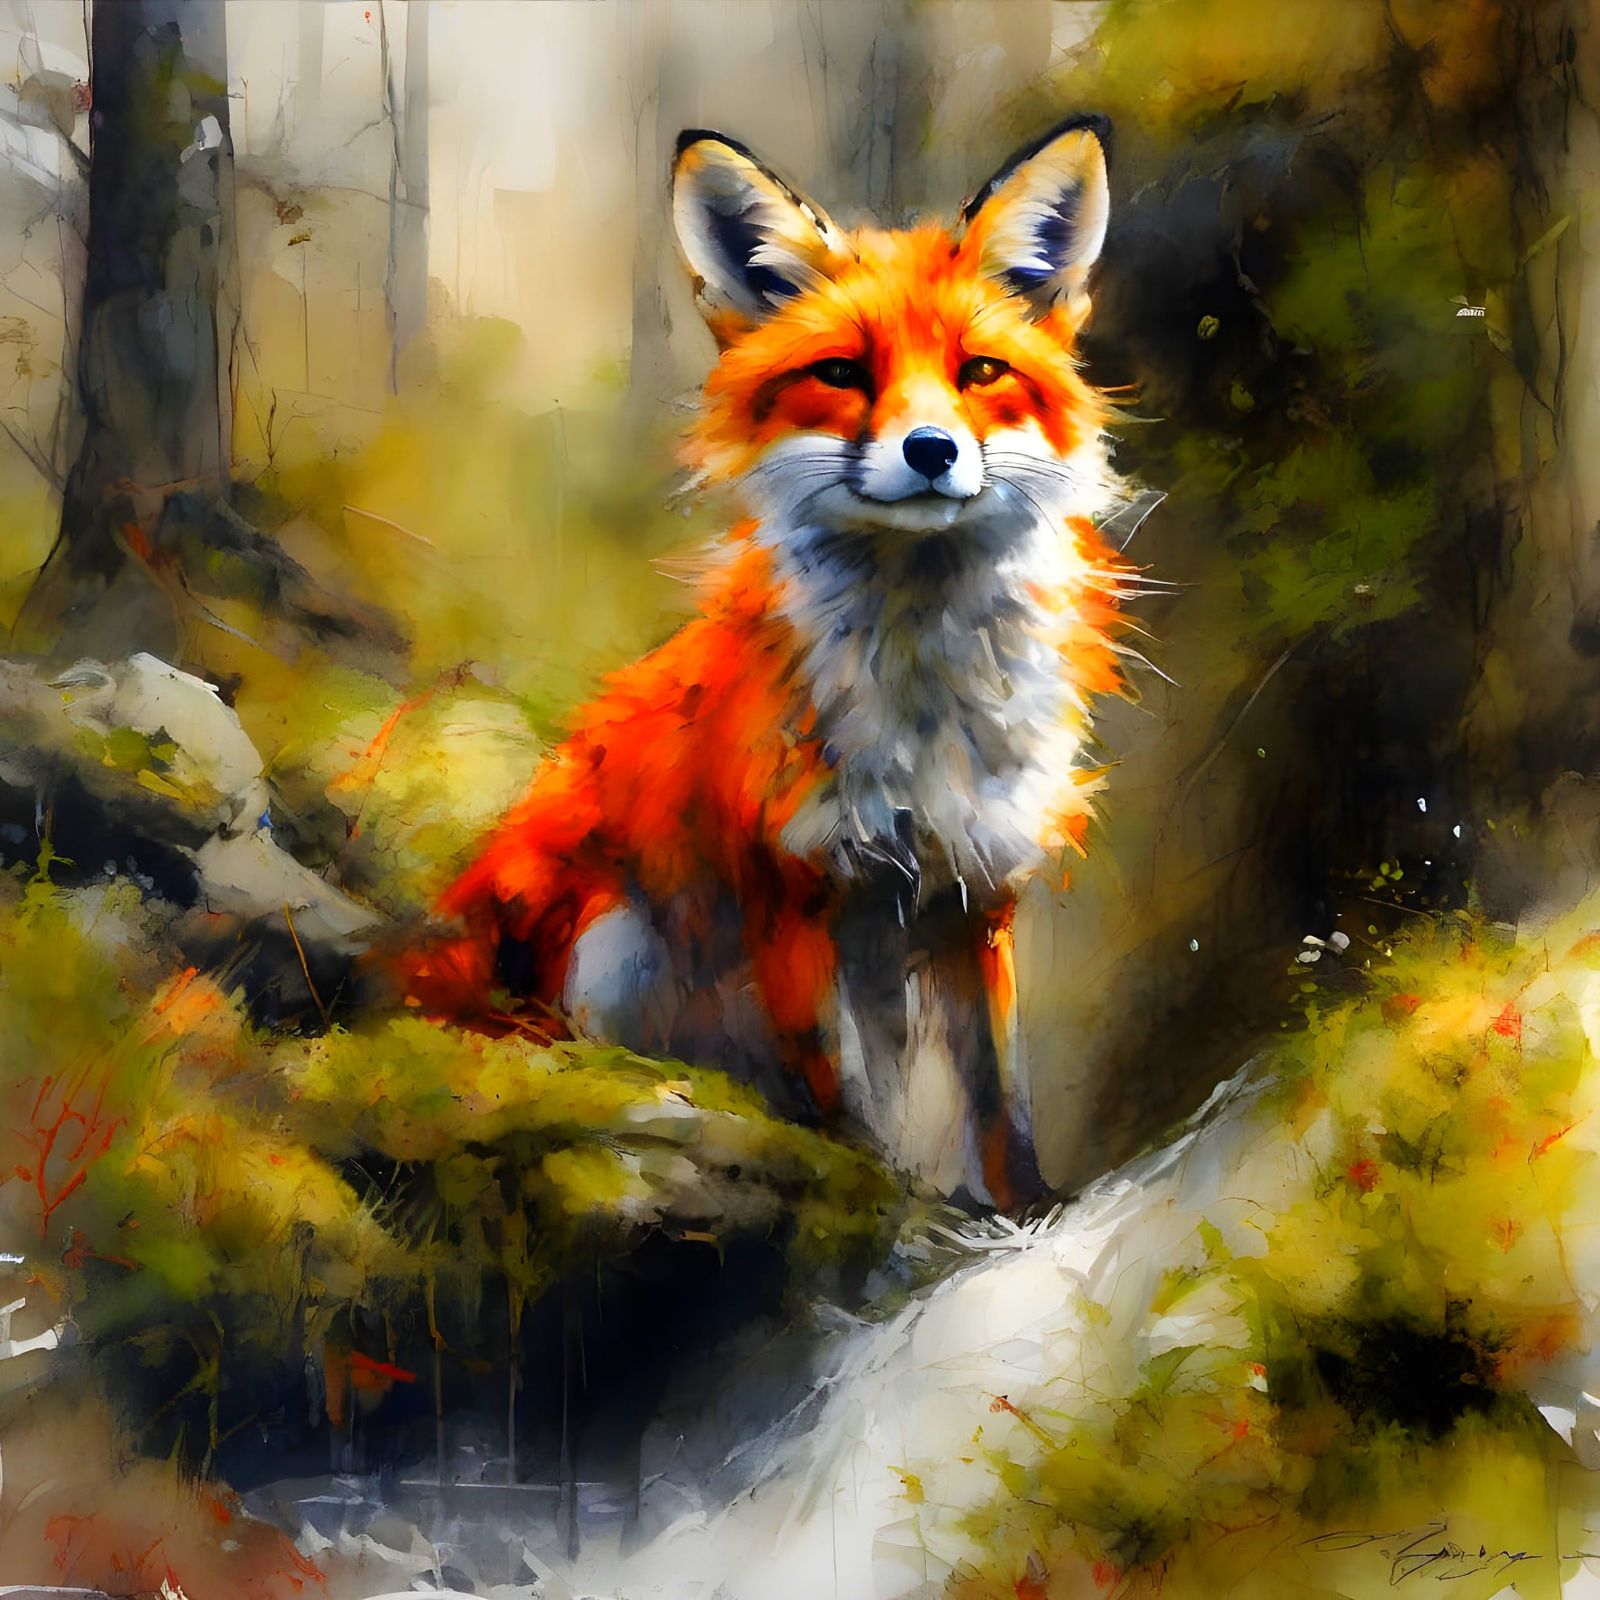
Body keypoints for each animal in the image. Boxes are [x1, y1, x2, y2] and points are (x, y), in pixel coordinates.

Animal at [403, 117, 1139, 1209]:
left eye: (978, 372)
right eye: (842, 373)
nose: (931, 449)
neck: (920, 701)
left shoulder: (972, 896)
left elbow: (1000, 1103)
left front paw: (1021, 1211)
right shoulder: (797, 891)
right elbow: (844, 1103)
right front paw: (878, 1203)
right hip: (611, 942)